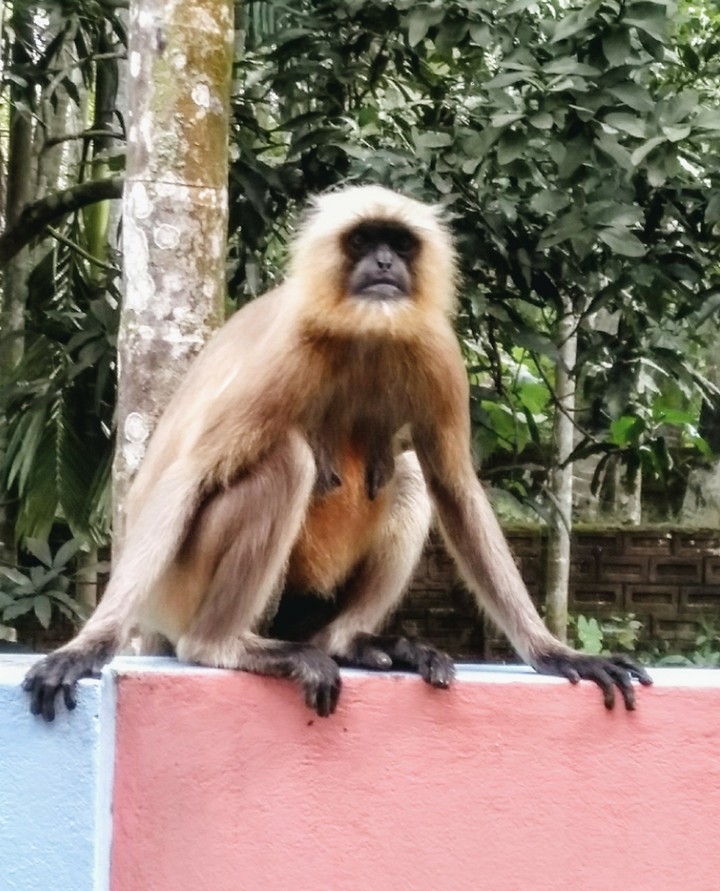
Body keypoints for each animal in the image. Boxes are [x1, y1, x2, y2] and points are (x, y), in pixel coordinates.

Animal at [23, 185, 652, 721]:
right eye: (363, 240)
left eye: (399, 243)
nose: (384, 264)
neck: (365, 333)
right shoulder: (287, 346)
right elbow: (189, 478)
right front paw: (86, 647)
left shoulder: (437, 350)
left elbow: (454, 487)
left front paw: (555, 653)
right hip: (181, 585)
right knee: (286, 463)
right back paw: (222, 646)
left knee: (410, 475)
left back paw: (349, 643)